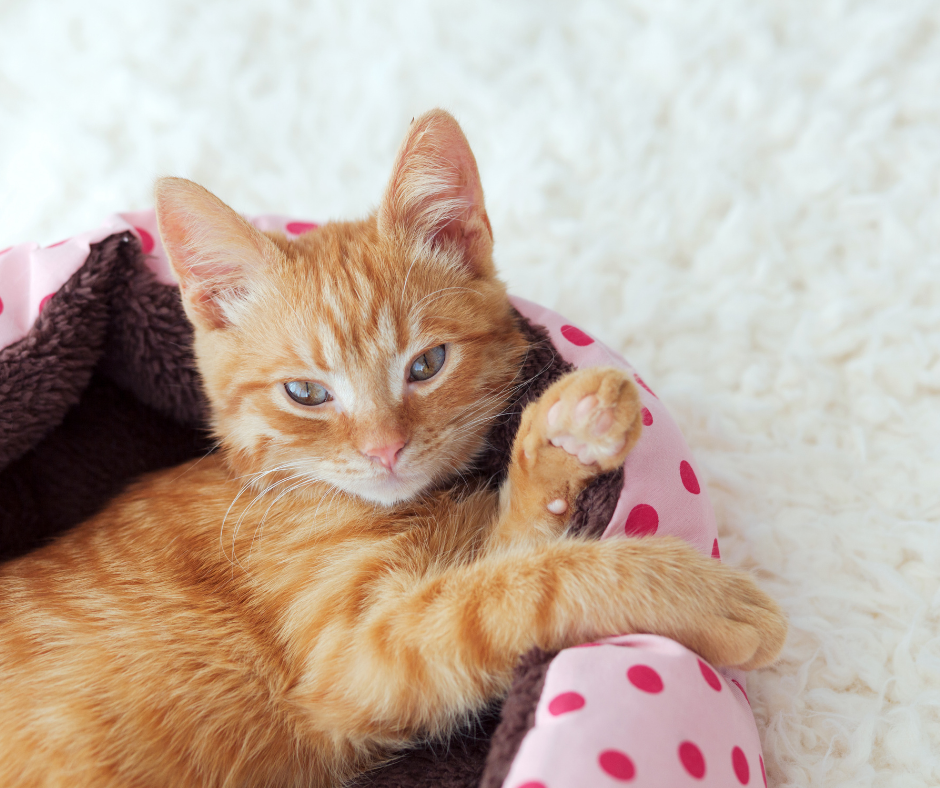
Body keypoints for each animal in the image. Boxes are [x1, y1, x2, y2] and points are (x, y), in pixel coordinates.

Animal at [0, 111, 784, 788]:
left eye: (427, 364)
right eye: (306, 393)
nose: (386, 450)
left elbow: (519, 554)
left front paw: (564, 440)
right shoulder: (364, 656)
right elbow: (522, 587)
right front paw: (695, 593)